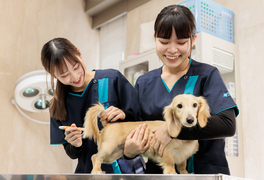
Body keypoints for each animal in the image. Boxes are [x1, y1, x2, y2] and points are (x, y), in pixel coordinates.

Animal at [82, 94, 210, 174]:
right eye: (179, 106)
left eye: (195, 105)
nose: (190, 120)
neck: (183, 137)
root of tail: (108, 124)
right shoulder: (164, 152)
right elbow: (170, 163)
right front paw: (171, 172)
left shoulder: (183, 156)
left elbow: (182, 166)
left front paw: (185, 173)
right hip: (108, 148)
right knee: (97, 157)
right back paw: (96, 170)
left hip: (114, 154)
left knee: (94, 157)